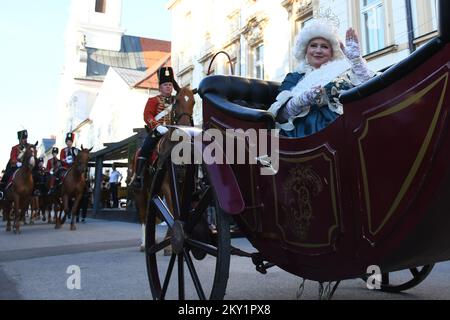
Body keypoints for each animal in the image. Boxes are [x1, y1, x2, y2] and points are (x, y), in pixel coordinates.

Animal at [130, 86, 197, 251]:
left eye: (193, 102)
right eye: (177, 101)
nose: (184, 128)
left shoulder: (182, 184)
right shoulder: (166, 184)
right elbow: (172, 209)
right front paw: (171, 243)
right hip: (140, 191)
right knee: (143, 215)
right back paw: (144, 243)